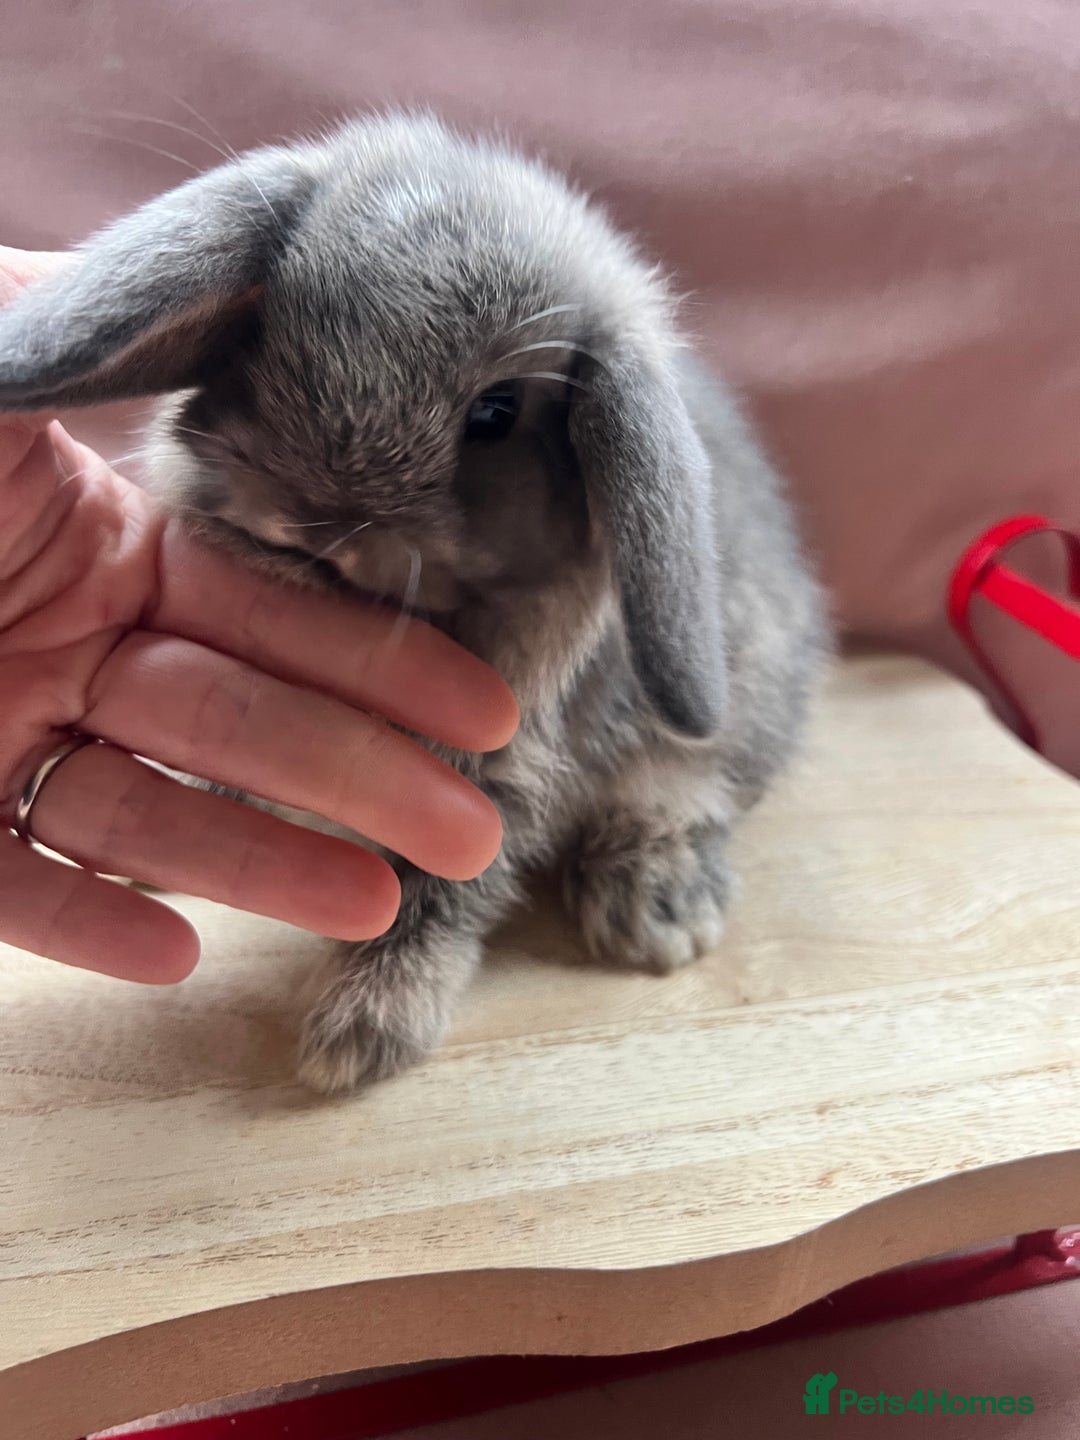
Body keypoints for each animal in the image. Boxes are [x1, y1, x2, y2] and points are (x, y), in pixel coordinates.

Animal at [0, 113, 828, 1093]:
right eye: (266, 330)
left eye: (496, 412)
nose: (309, 529)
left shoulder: (495, 774)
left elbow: (432, 892)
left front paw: (359, 1037)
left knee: (683, 795)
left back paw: (657, 915)